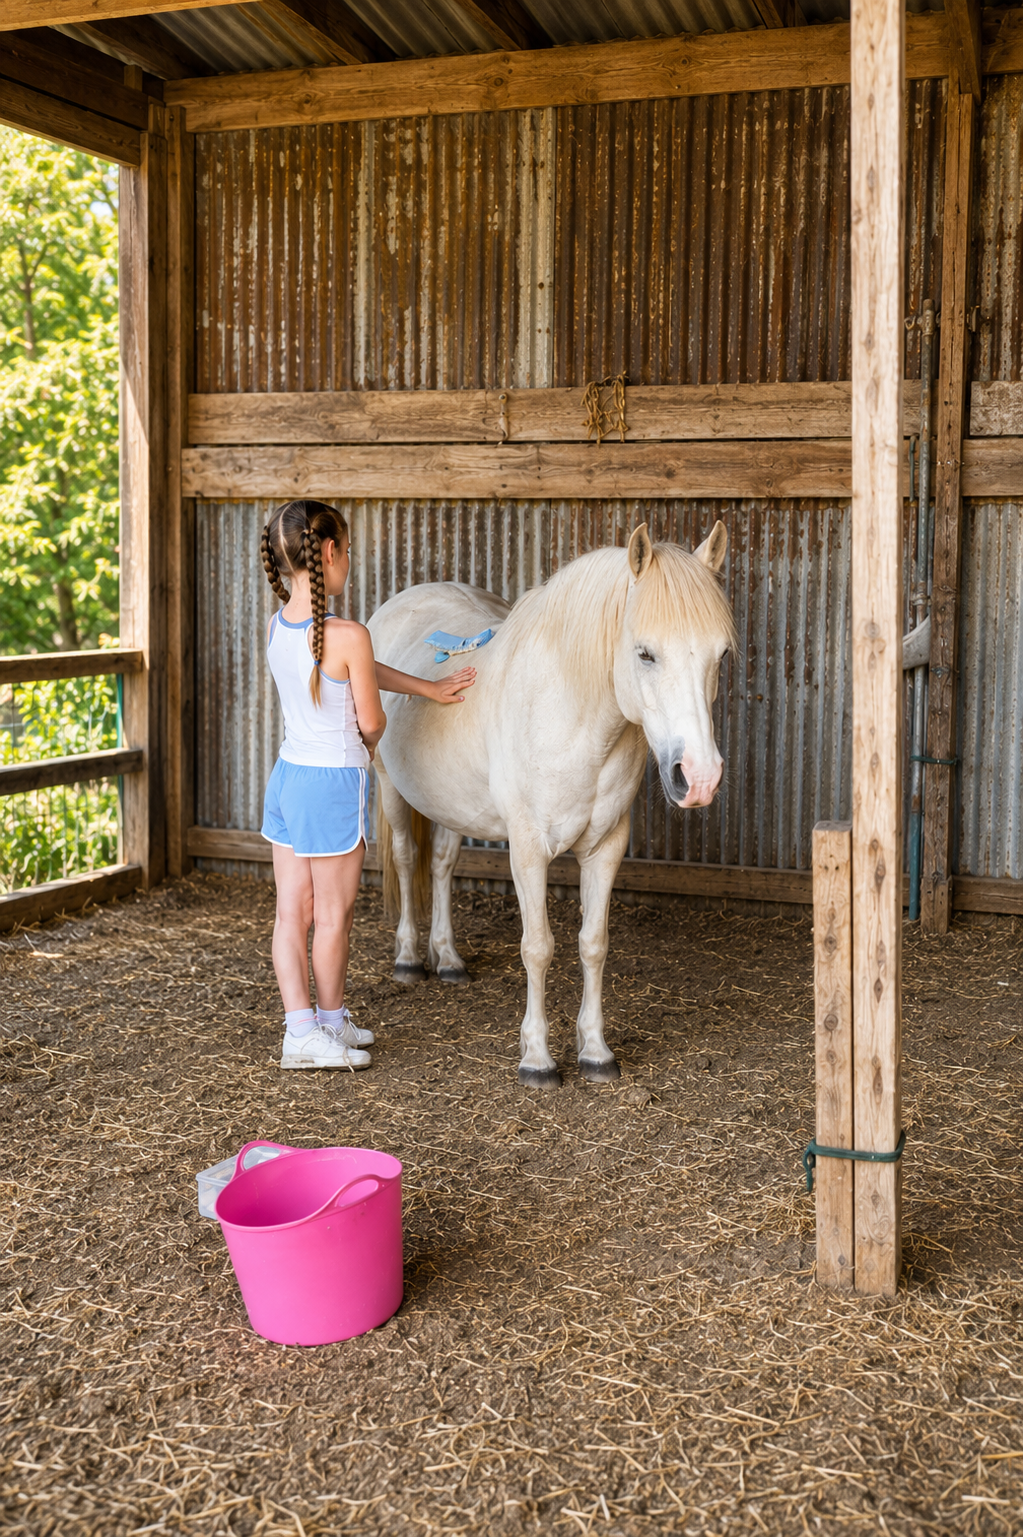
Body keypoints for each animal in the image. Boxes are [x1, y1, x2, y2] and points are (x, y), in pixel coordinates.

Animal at [368, 522, 736, 1088]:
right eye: (645, 653)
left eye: (720, 655)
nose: (698, 777)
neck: (573, 717)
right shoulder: (528, 851)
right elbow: (538, 947)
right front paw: (537, 1059)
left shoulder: (606, 848)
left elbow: (593, 943)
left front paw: (596, 1052)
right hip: (390, 789)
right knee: (409, 861)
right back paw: (409, 959)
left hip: (451, 803)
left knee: (443, 865)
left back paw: (448, 959)